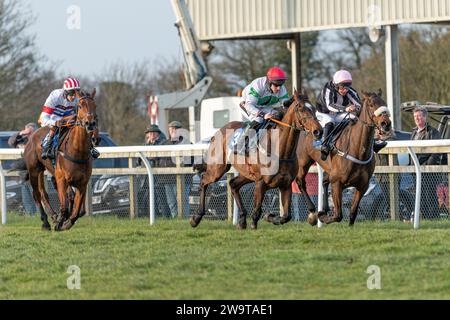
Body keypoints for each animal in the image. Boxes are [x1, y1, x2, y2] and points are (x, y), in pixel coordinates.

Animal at [23, 89, 97, 231]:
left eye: (94, 106)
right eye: (80, 106)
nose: (90, 123)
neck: (77, 150)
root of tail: (32, 136)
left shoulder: (82, 182)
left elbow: (79, 209)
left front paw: (67, 221)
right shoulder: (62, 178)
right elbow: (64, 204)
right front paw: (60, 221)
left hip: (44, 171)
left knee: (44, 192)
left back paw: (53, 216)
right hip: (34, 170)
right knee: (37, 194)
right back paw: (46, 222)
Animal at [190, 90, 324, 230]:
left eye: (314, 109)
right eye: (301, 108)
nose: (318, 131)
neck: (281, 151)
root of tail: (217, 133)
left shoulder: (285, 184)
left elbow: (286, 216)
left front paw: (270, 216)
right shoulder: (260, 183)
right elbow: (257, 211)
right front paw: (257, 221)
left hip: (247, 174)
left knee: (233, 184)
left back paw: (242, 219)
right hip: (218, 169)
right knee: (204, 180)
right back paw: (196, 217)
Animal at [296, 89, 390, 226]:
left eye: (384, 103)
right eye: (371, 104)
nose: (386, 123)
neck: (357, 150)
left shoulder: (363, 185)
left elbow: (352, 213)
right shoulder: (337, 183)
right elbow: (338, 215)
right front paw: (322, 216)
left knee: (324, 181)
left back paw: (324, 209)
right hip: (303, 162)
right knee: (300, 181)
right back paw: (313, 212)